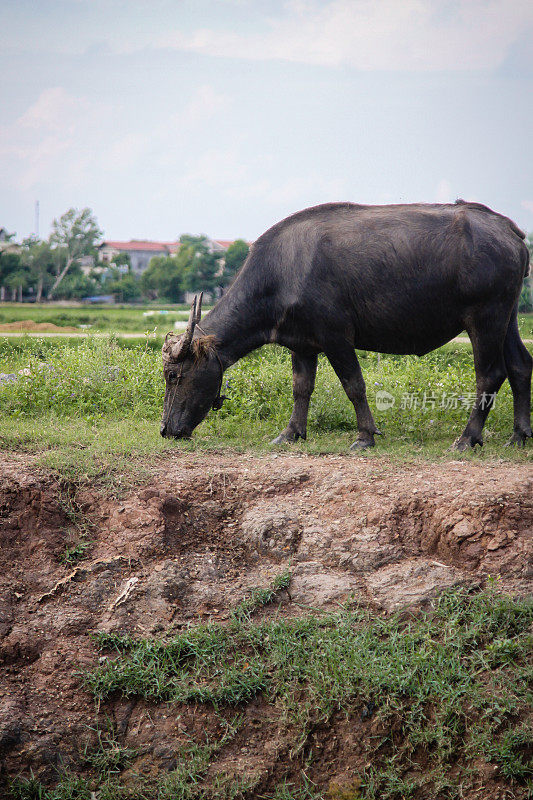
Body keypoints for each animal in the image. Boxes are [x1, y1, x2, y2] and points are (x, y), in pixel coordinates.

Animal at [160, 200, 528, 450]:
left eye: (174, 375)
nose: (166, 430)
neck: (282, 271)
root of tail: (508, 230)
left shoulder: (336, 337)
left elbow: (354, 385)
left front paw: (365, 436)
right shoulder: (301, 345)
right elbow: (301, 389)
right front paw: (290, 433)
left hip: (485, 318)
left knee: (490, 375)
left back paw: (468, 438)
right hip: (508, 317)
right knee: (521, 366)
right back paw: (519, 435)